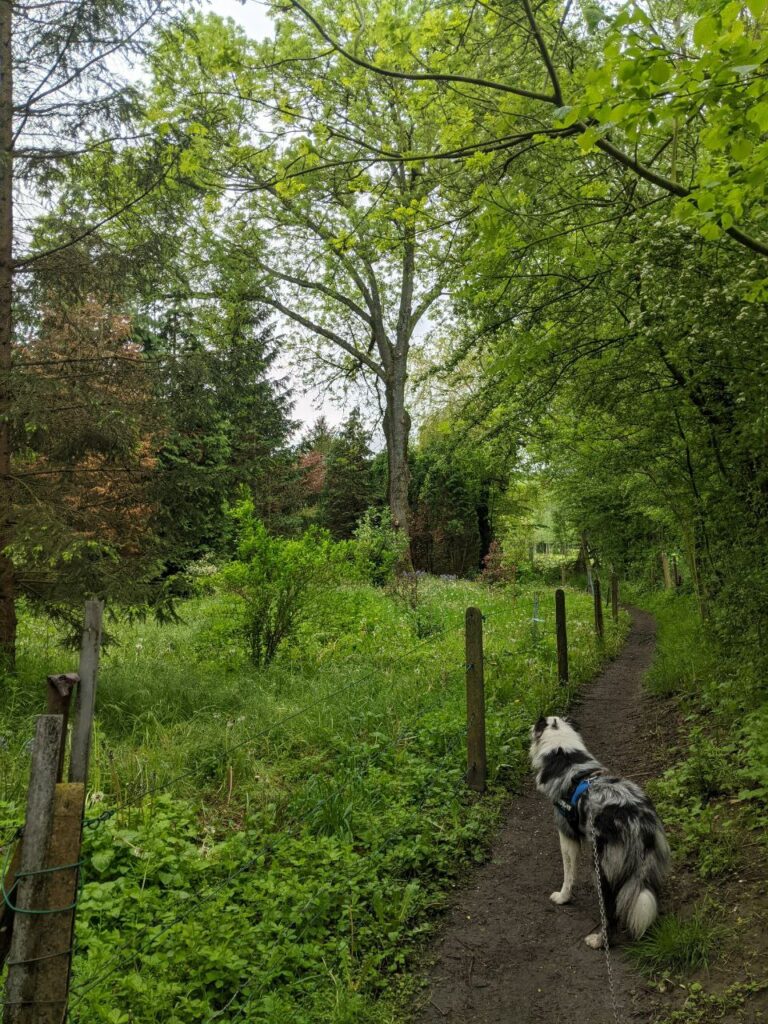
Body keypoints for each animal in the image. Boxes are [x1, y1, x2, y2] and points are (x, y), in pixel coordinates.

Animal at [532, 716, 671, 946]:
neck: (563, 754)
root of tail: (639, 825)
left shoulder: (566, 835)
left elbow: (568, 874)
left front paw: (562, 898)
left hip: (603, 870)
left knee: (610, 913)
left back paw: (598, 941)